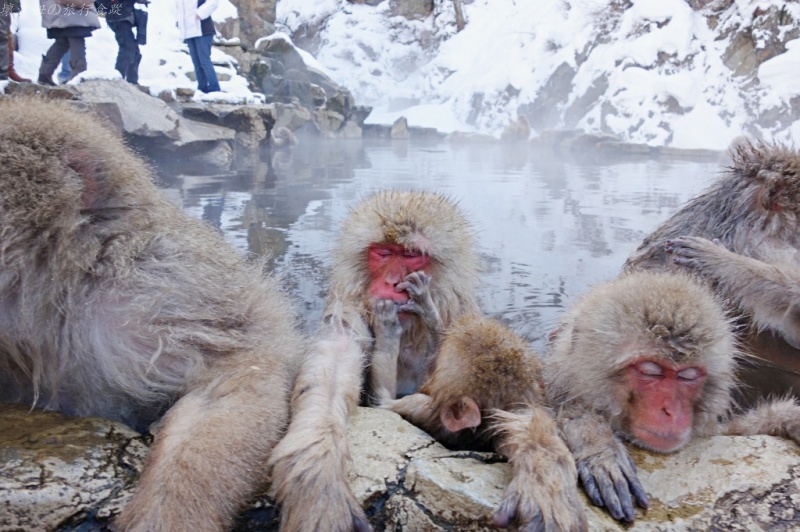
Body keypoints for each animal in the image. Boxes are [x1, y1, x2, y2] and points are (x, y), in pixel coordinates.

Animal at [268, 189, 482, 531]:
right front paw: (320, 481)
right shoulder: (351, 307)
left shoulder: (465, 323)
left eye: (410, 255)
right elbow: (333, 368)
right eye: (383, 253)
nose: (392, 282)